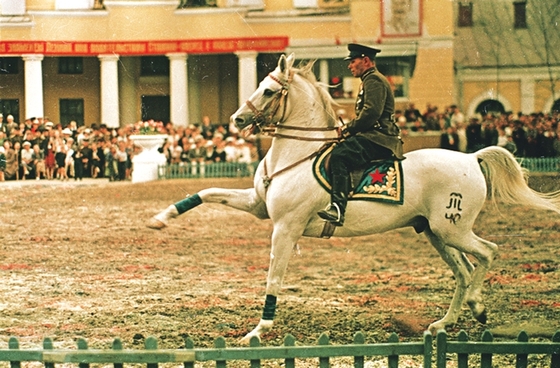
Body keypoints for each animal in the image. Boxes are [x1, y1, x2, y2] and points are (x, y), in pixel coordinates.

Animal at [148, 53, 560, 344]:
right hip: (436, 234)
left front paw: (258, 330)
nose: (236, 120)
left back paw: (477, 305)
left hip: (452, 229)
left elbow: (273, 278)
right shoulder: (257, 205)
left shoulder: (285, 227)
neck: (295, 155)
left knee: (487, 254)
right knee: (463, 270)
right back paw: (445, 322)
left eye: (268, 90)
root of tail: (471, 157)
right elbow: (206, 192)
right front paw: (161, 217)